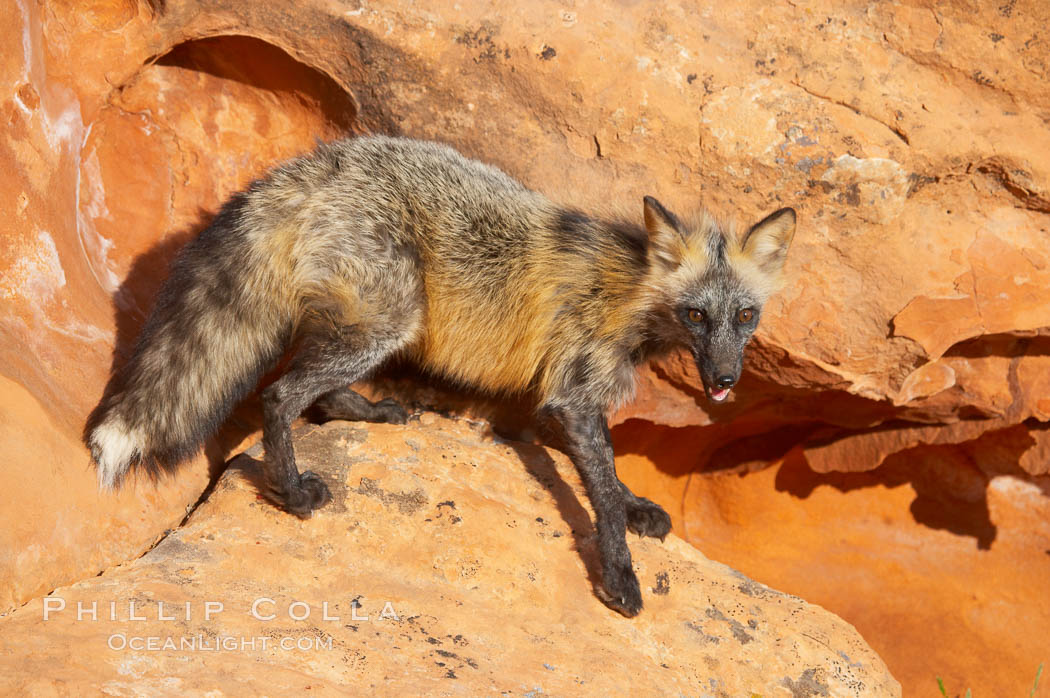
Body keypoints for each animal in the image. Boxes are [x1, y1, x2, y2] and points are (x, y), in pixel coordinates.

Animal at [88, 136, 793, 617]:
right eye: (697, 314)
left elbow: (612, 481)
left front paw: (636, 506)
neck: (629, 290)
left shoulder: (574, 398)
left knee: (312, 387)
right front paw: (620, 577)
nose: (724, 378)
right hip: (393, 319)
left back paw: (364, 410)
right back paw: (291, 491)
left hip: (372, 322)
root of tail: (322, 160)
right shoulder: (571, 396)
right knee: (280, 393)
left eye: (745, 316)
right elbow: (601, 496)